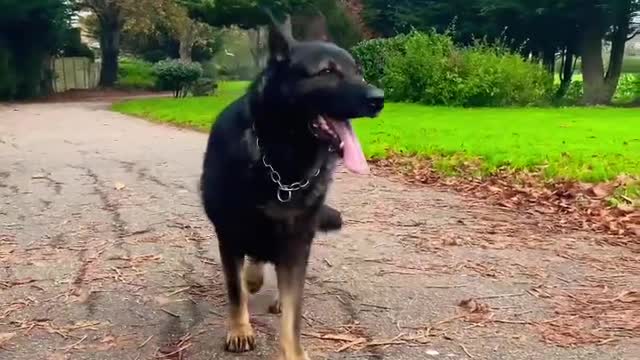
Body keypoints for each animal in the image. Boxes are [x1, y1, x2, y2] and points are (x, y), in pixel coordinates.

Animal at [200, 12, 382, 358]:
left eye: (359, 71)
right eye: (326, 72)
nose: (379, 99)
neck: (281, 160)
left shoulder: (298, 243)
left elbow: (293, 314)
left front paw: (293, 351)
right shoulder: (228, 236)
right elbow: (235, 291)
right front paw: (240, 328)